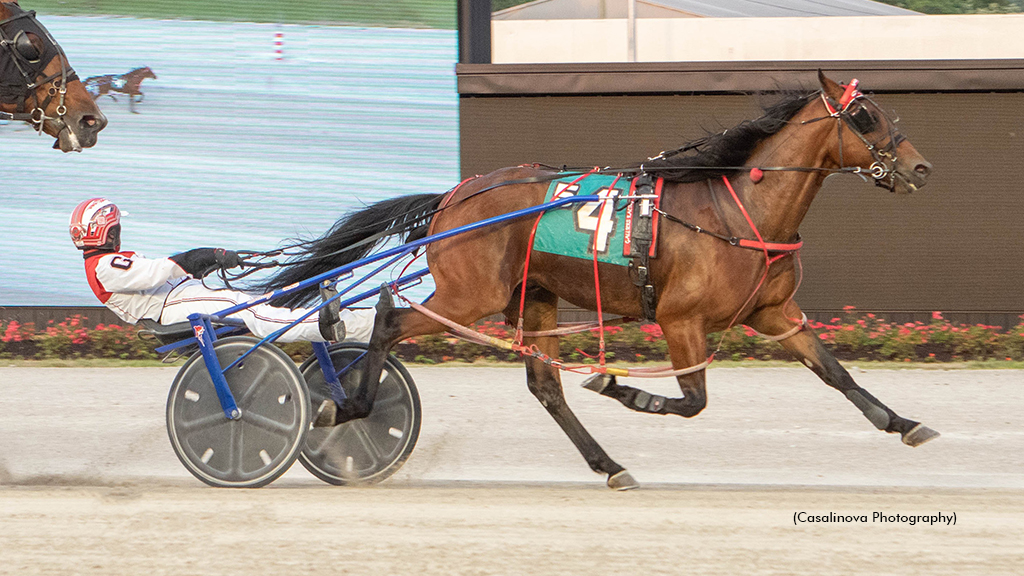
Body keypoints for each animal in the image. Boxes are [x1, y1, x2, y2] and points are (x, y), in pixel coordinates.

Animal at [256, 72, 937, 490]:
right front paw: (619, 386)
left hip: (533, 296)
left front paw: (904, 424)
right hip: (470, 294)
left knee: (544, 386)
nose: (921, 168)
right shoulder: (680, 319)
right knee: (390, 316)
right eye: (864, 115)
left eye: (884, 111)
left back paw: (608, 464)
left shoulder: (774, 313)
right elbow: (693, 401)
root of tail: (455, 196)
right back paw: (347, 404)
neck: (739, 210)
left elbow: (835, 372)